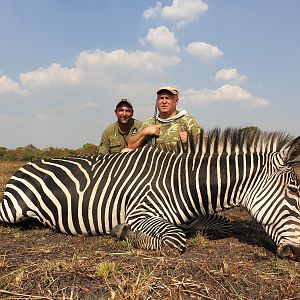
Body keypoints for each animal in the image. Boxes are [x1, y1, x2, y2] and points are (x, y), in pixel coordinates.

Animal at [0, 129, 298, 260]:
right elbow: (173, 240)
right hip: (12, 208)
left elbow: (221, 224)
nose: (295, 253)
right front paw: (122, 232)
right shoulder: (140, 213)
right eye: (294, 192)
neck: (182, 183)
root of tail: (26, 164)